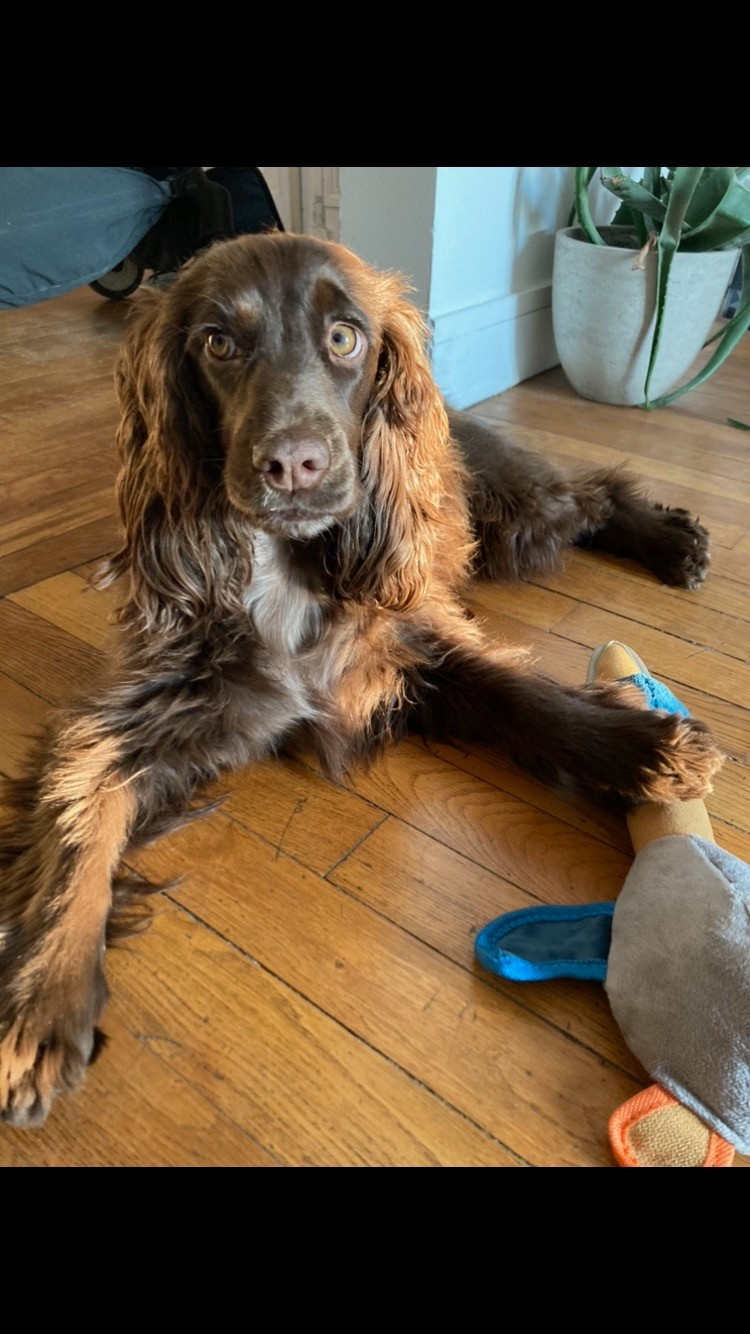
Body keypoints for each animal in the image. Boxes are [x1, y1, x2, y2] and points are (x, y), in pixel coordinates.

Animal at [0, 231, 720, 1127]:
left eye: (344, 337)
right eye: (217, 343)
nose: (293, 464)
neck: (284, 569)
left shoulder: (406, 644)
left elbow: (530, 701)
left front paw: (648, 748)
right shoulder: (140, 712)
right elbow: (80, 829)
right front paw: (42, 1004)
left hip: (514, 515)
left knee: (593, 496)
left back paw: (672, 541)